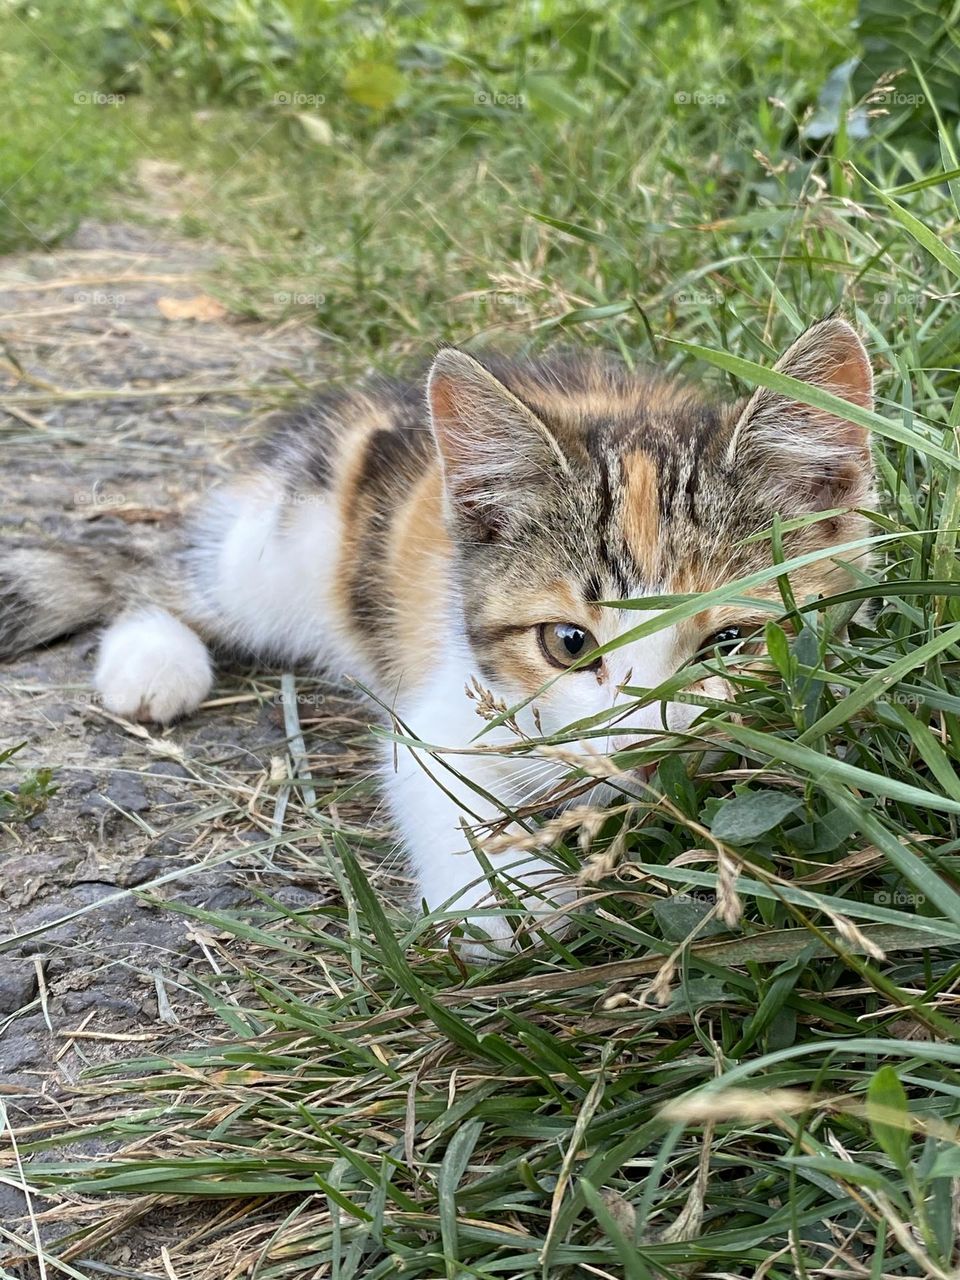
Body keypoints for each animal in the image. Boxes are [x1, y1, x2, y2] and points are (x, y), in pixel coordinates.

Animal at [0, 320, 880, 957]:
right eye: (569, 643)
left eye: (730, 644)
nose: (636, 752)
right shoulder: (452, 705)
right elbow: (439, 785)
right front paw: (504, 908)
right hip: (279, 558)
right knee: (163, 577)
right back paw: (152, 658)